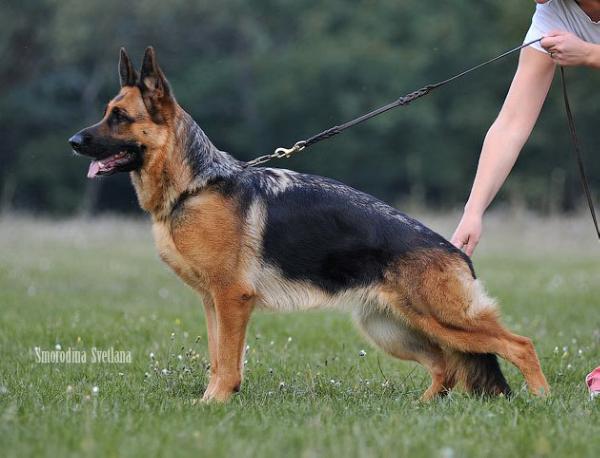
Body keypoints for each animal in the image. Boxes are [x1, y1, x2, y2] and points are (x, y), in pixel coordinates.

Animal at [68, 47, 549, 402]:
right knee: (446, 368)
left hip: (443, 320)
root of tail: (458, 254)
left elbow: (227, 362)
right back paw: (422, 407)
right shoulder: (212, 303)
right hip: (392, 328)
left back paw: (542, 400)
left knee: (519, 345)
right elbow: (217, 357)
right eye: (107, 112)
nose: (73, 141)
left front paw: (216, 402)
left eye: (119, 117)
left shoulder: (232, 299)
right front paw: (210, 401)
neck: (197, 184)